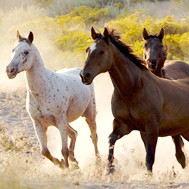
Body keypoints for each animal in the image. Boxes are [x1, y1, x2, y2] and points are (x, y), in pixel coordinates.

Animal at [5, 31, 100, 169]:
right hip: (64, 122)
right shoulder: (38, 124)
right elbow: (45, 151)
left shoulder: (60, 121)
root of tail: (81, 72)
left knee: (93, 137)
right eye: (13, 50)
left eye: (26, 52)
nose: (9, 70)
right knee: (74, 133)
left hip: (88, 115)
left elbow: (63, 150)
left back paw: (99, 162)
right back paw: (74, 161)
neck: (43, 91)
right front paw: (61, 164)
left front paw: (66, 168)